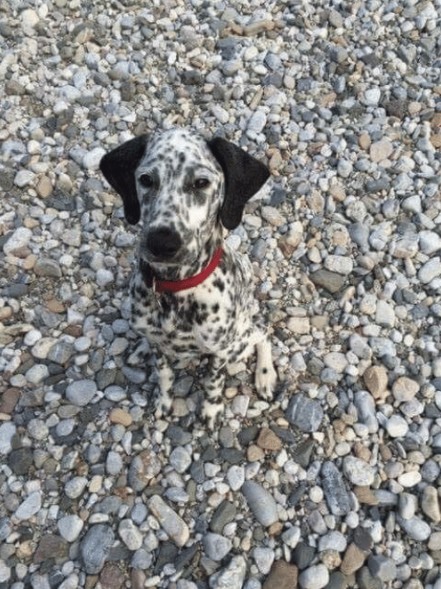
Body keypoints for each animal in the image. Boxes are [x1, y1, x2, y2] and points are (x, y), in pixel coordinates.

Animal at [101, 126, 276, 424]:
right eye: (146, 179)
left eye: (201, 183)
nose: (162, 243)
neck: (177, 287)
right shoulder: (160, 346)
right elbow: (164, 374)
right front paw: (163, 402)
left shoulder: (220, 350)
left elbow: (213, 382)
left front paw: (210, 411)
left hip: (240, 339)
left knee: (262, 334)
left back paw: (265, 376)